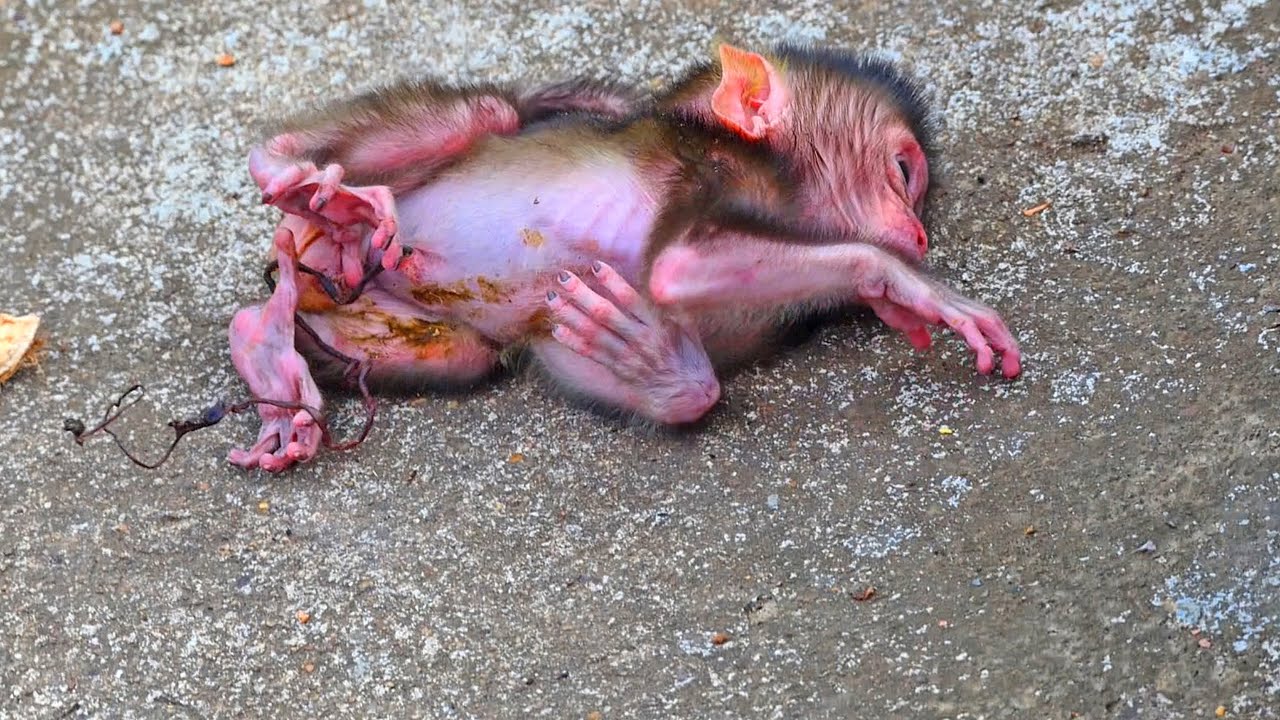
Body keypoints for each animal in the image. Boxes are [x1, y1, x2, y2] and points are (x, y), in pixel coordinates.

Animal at [227, 43, 1022, 472]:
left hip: (369, 306)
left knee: (459, 352)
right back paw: (289, 170)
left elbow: (578, 339)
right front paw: (908, 285)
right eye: (904, 173)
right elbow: (679, 264)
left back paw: (266, 348)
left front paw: (655, 363)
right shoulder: (716, 173)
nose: (918, 235)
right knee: (489, 114)